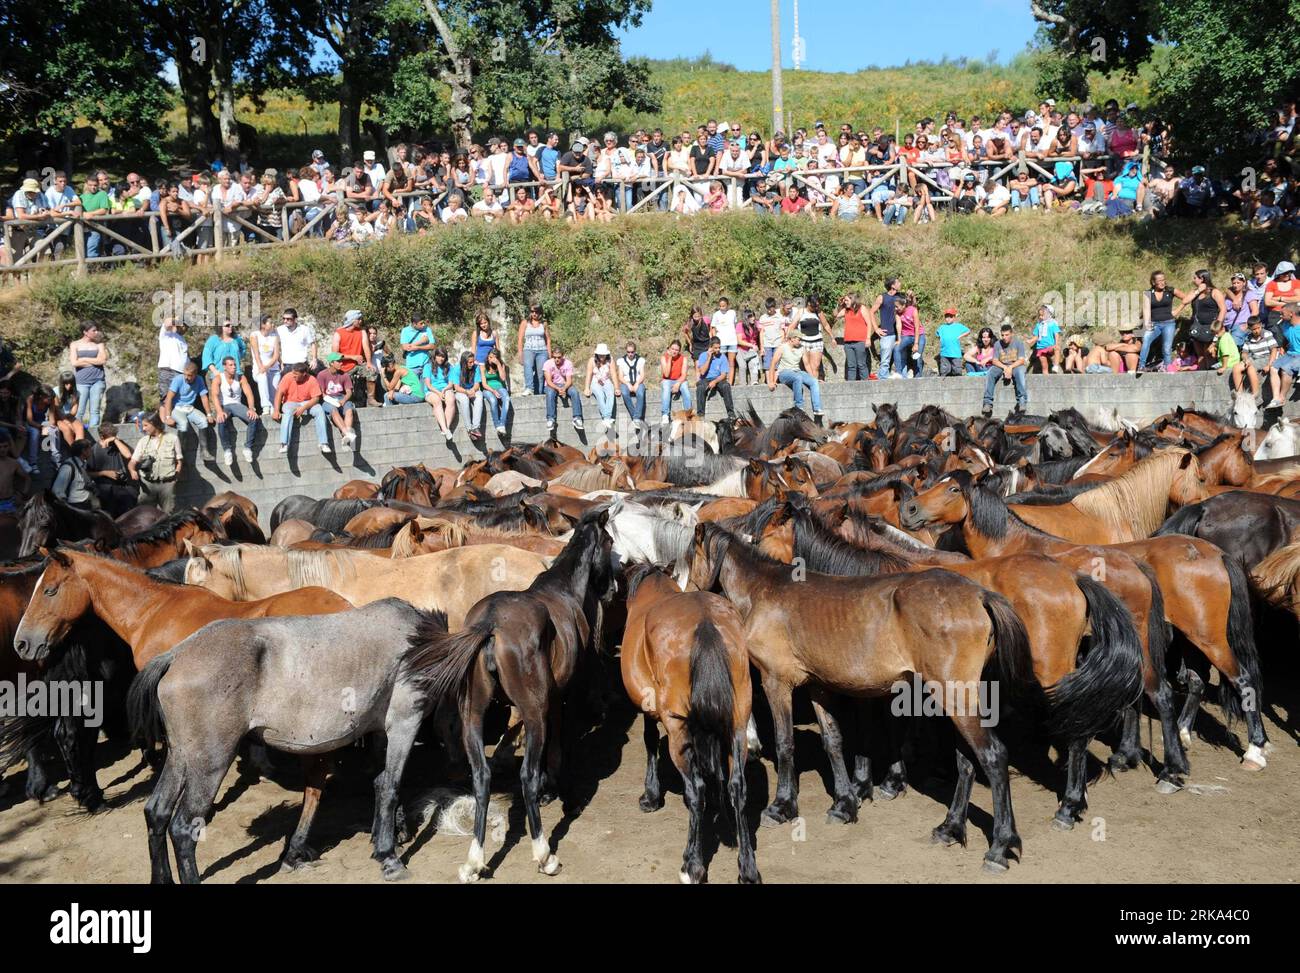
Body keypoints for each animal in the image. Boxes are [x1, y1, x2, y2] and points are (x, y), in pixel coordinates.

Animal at [128, 595, 447, 884]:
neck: (418, 640)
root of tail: (176, 656)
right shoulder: (404, 723)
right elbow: (391, 786)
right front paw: (390, 857)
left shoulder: (381, 731)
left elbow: (381, 782)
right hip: (210, 763)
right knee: (183, 827)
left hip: (181, 756)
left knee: (156, 812)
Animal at [400, 509, 613, 879]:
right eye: (611, 541)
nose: (612, 589)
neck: (563, 590)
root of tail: (490, 625)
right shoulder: (564, 697)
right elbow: (559, 745)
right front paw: (562, 794)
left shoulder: (552, 700)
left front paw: (549, 790)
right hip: (531, 709)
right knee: (525, 775)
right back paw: (544, 854)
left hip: (473, 715)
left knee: (481, 776)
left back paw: (474, 861)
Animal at [621, 561, 759, 879]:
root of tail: (705, 624)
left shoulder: (650, 710)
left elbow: (649, 742)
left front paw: (650, 796)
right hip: (737, 722)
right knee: (738, 786)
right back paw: (747, 867)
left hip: (677, 727)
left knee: (695, 789)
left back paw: (692, 864)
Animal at [681, 520, 1034, 868]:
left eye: (688, 558)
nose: (687, 598)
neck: (764, 592)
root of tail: (980, 595)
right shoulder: (817, 686)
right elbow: (833, 741)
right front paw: (844, 804)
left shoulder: (776, 682)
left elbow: (785, 745)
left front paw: (782, 807)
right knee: (967, 763)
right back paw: (950, 828)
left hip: (954, 699)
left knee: (993, 756)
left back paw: (1000, 847)